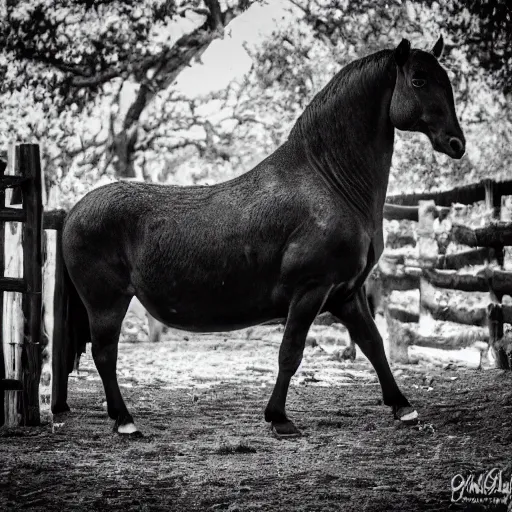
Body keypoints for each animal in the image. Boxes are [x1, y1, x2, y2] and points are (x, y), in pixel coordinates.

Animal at [60, 37, 464, 436]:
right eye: (418, 80)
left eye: (446, 80)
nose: (456, 143)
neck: (329, 182)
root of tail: (73, 212)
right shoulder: (311, 290)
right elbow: (291, 353)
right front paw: (279, 418)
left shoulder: (347, 293)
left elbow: (373, 344)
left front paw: (402, 406)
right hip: (107, 304)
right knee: (105, 354)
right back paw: (125, 420)